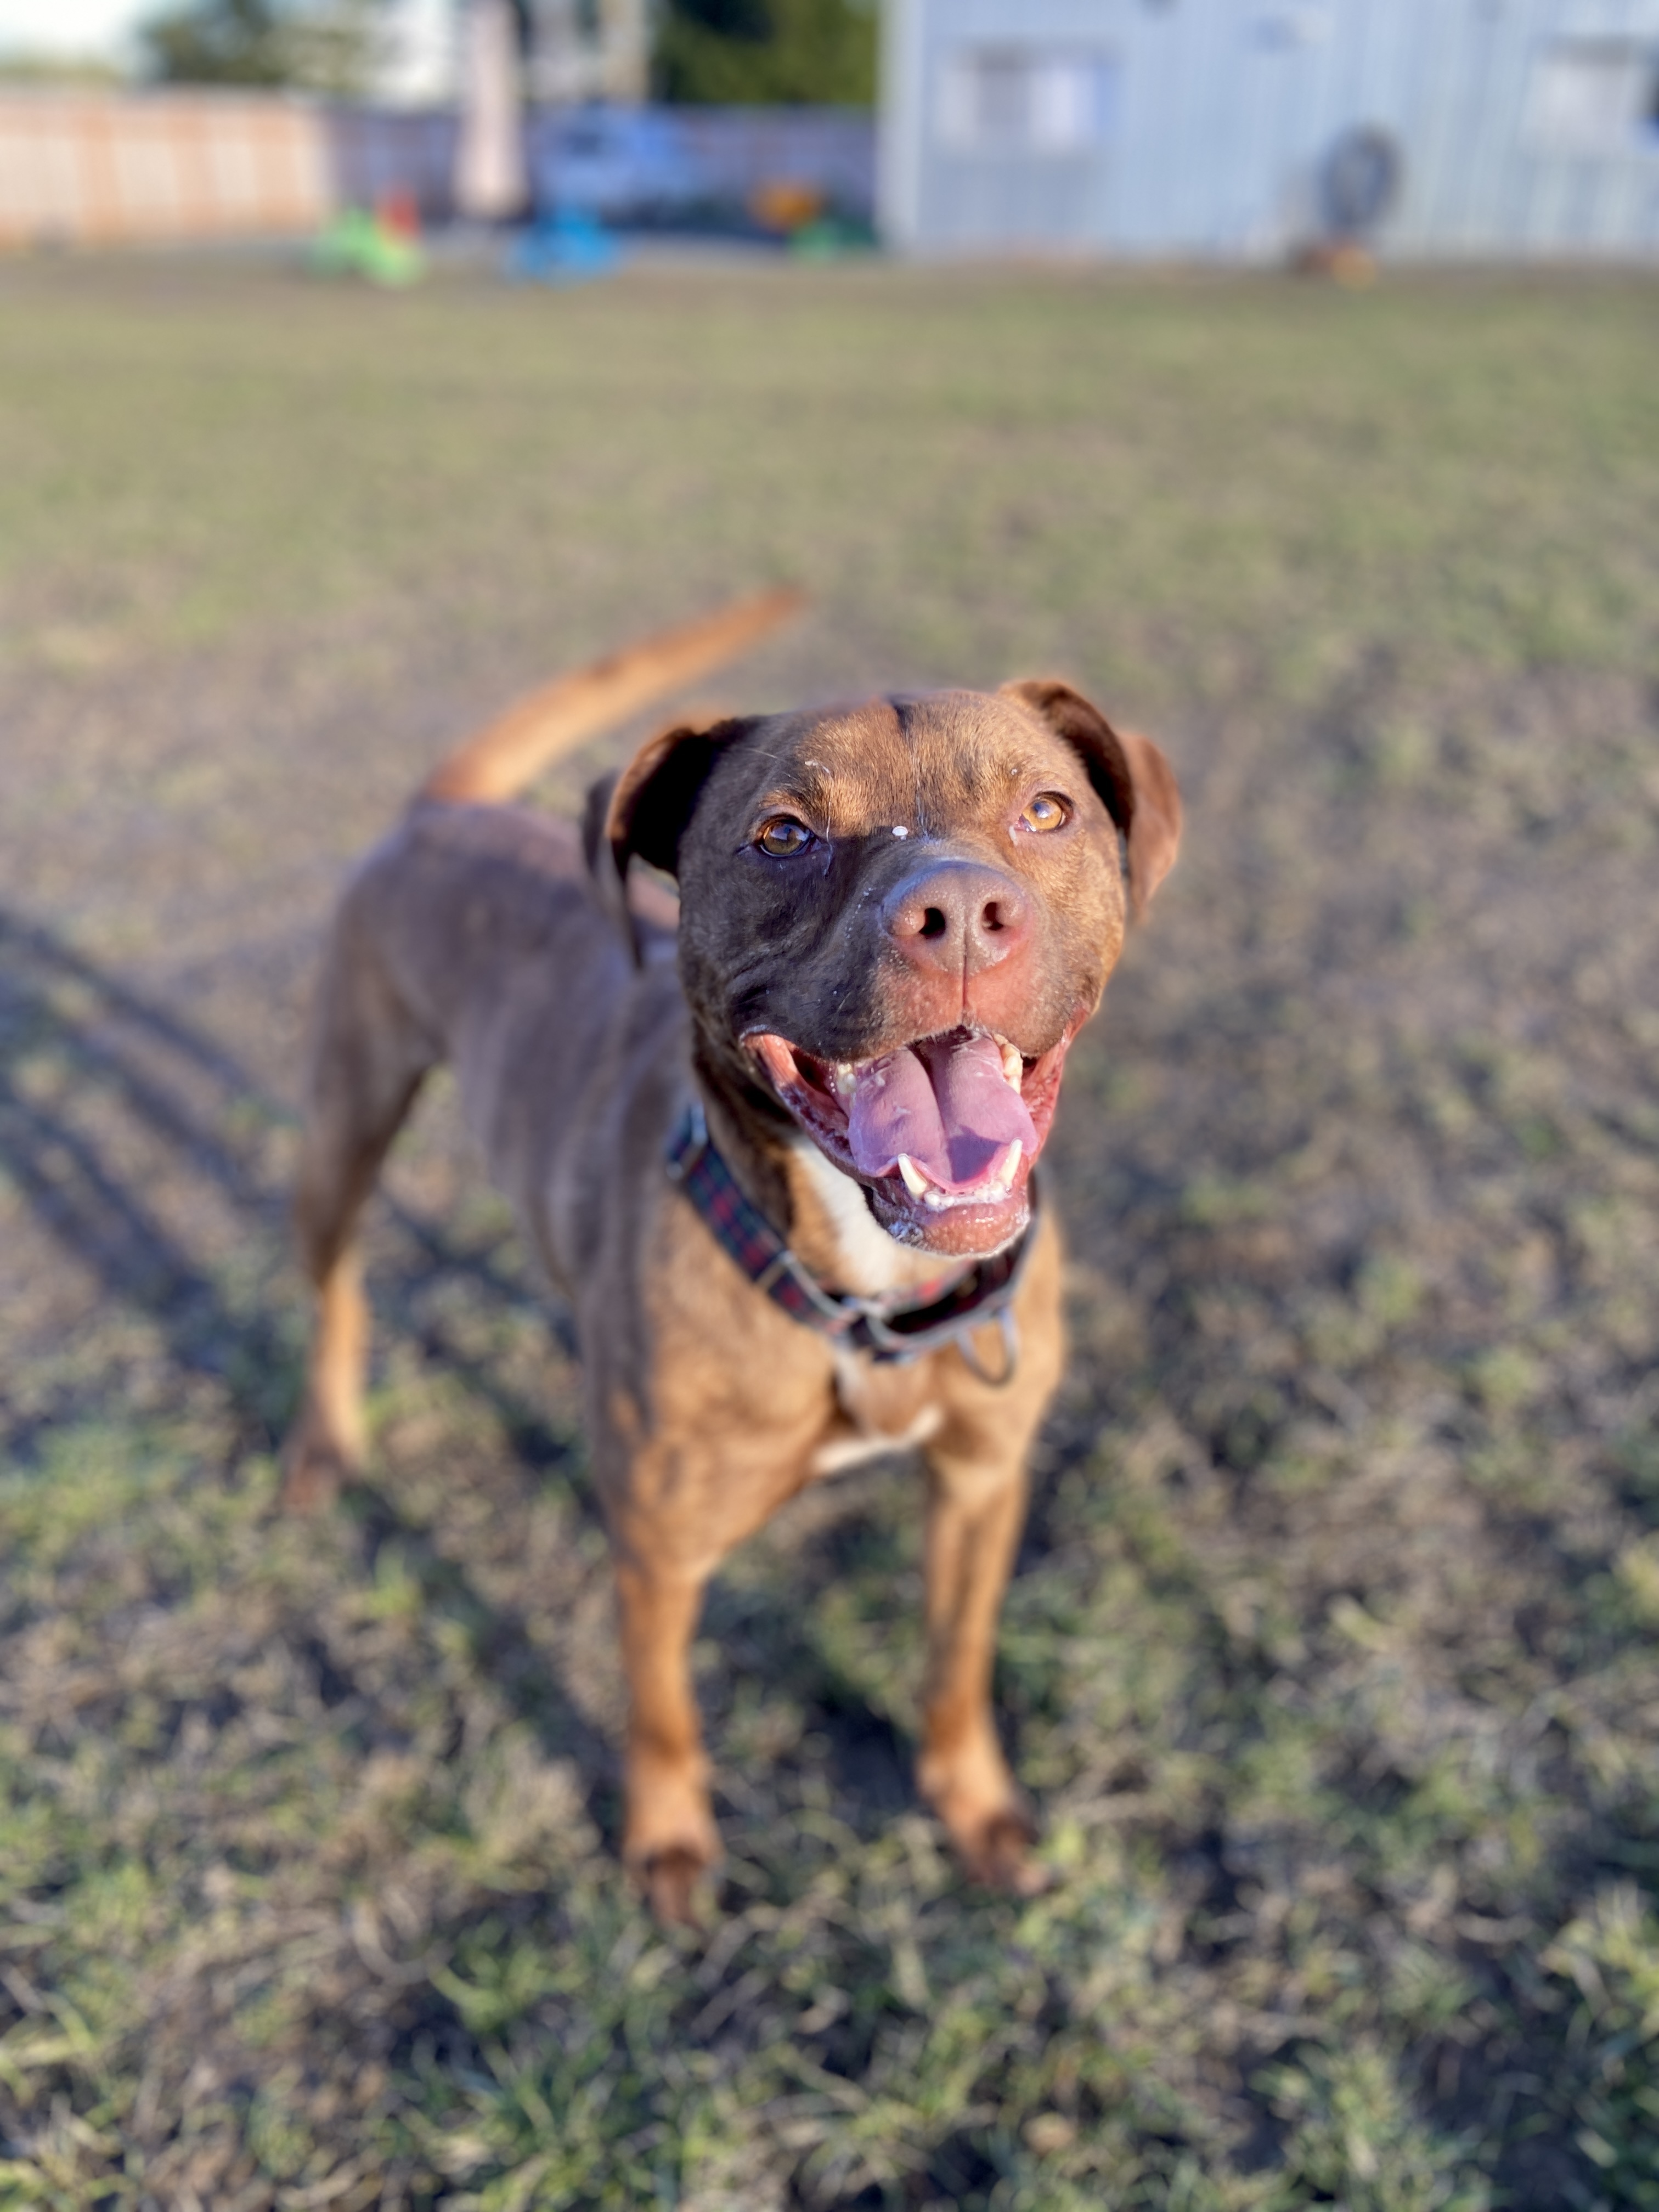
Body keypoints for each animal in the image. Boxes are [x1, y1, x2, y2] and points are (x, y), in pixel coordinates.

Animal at [290, 592, 1194, 1920]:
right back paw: (323, 1440)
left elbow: (955, 1663)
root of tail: (440, 809)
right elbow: (662, 1710)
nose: (958, 913)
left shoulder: (981, 1483)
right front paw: (667, 1843)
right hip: (346, 1119)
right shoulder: (659, 1549)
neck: (863, 1291)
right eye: (781, 833)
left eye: (1044, 811)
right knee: (335, 1280)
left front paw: (973, 1808)